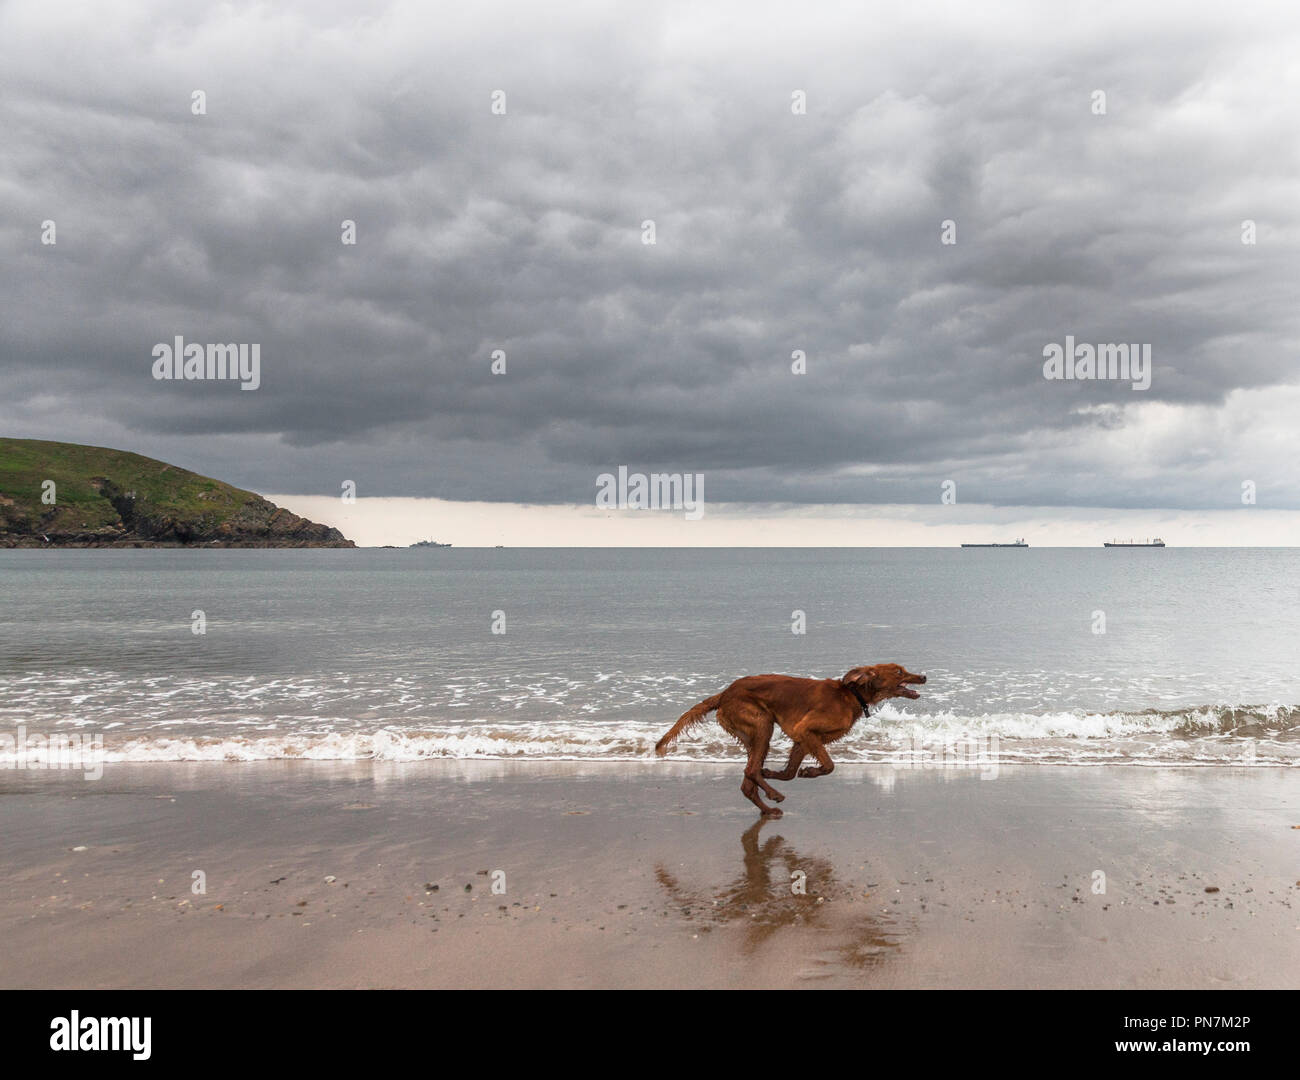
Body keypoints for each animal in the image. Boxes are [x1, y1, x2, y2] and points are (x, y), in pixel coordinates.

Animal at [660, 662, 925, 816]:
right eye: (899, 672)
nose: (923, 677)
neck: (851, 694)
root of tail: (725, 693)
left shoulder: (803, 739)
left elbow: (789, 772)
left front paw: (779, 772)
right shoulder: (805, 730)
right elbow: (829, 765)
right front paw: (809, 772)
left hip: (753, 734)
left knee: (748, 780)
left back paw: (767, 808)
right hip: (762, 725)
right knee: (750, 771)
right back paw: (773, 795)